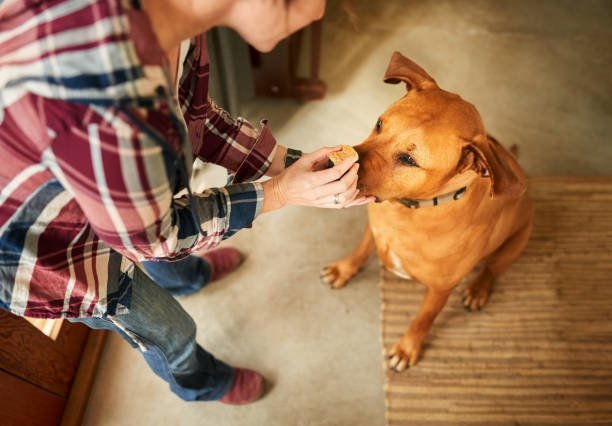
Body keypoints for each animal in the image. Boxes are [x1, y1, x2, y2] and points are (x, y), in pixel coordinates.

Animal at [322, 52, 532, 372]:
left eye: (409, 159)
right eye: (379, 124)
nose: (331, 165)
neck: (407, 213)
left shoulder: (440, 290)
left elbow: (423, 319)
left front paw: (407, 348)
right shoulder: (373, 230)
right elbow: (361, 250)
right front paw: (344, 269)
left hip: (514, 244)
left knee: (492, 270)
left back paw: (478, 289)